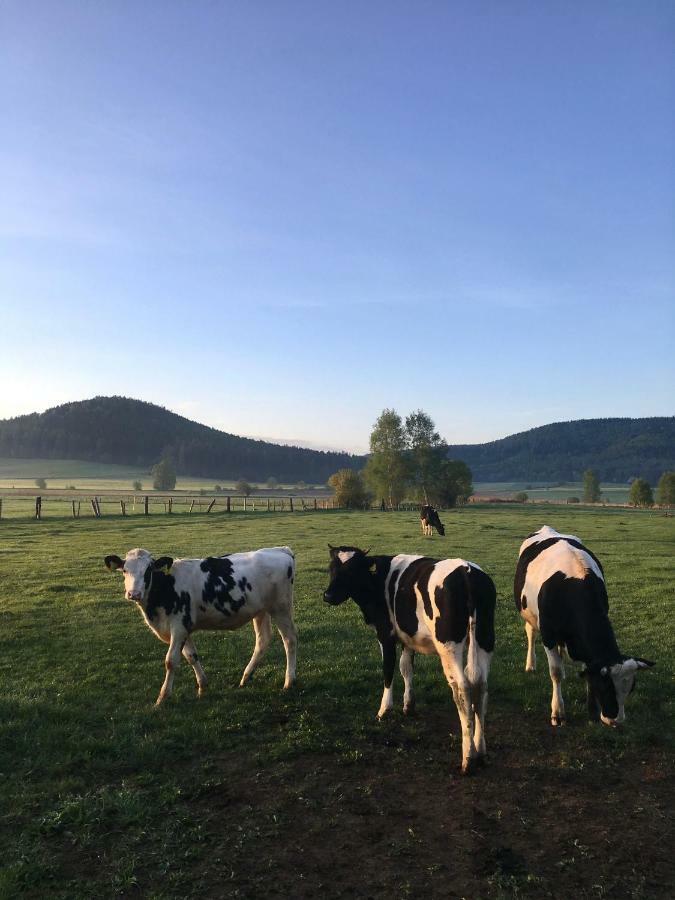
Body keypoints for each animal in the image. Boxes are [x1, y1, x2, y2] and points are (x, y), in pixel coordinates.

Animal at [104, 544, 298, 708]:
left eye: (148, 570)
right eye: (124, 570)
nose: (134, 593)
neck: (166, 588)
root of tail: (280, 550)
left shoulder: (179, 626)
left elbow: (171, 661)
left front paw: (163, 697)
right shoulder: (184, 628)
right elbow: (191, 656)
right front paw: (202, 686)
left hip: (280, 608)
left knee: (289, 640)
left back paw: (289, 682)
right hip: (260, 611)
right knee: (262, 641)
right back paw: (246, 677)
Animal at [324, 544, 494, 768]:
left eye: (351, 570)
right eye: (331, 568)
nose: (327, 595)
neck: (378, 580)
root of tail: (466, 571)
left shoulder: (385, 634)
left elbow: (388, 669)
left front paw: (384, 710)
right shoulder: (408, 638)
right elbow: (406, 668)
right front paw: (408, 705)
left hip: (448, 647)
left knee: (462, 687)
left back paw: (468, 756)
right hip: (485, 638)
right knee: (481, 685)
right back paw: (480, 749)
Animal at [516, 524, 656, 728]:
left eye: (630, 688)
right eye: (605, 688)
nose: (616, 721)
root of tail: (546, 528)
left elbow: (587, 671)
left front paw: (592, 712)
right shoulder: (548, 634)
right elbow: (555, 673)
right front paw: (558, 713)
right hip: (529, 614)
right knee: (531, 633)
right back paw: (531, 665)